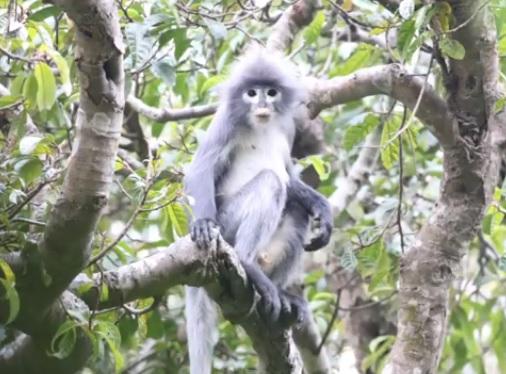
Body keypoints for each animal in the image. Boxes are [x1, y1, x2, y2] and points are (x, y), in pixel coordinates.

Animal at [182, 47, 332, 374]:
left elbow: (288, 174)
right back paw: (247, 264)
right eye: (252, 93)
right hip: (227, 224)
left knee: (295, 206)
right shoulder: (226, 120)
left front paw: (323, 209)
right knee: (270, 182)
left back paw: (281, 292)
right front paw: (202, 223)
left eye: (270, 92)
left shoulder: (287, 127)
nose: (262, 103)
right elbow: (200, 168)